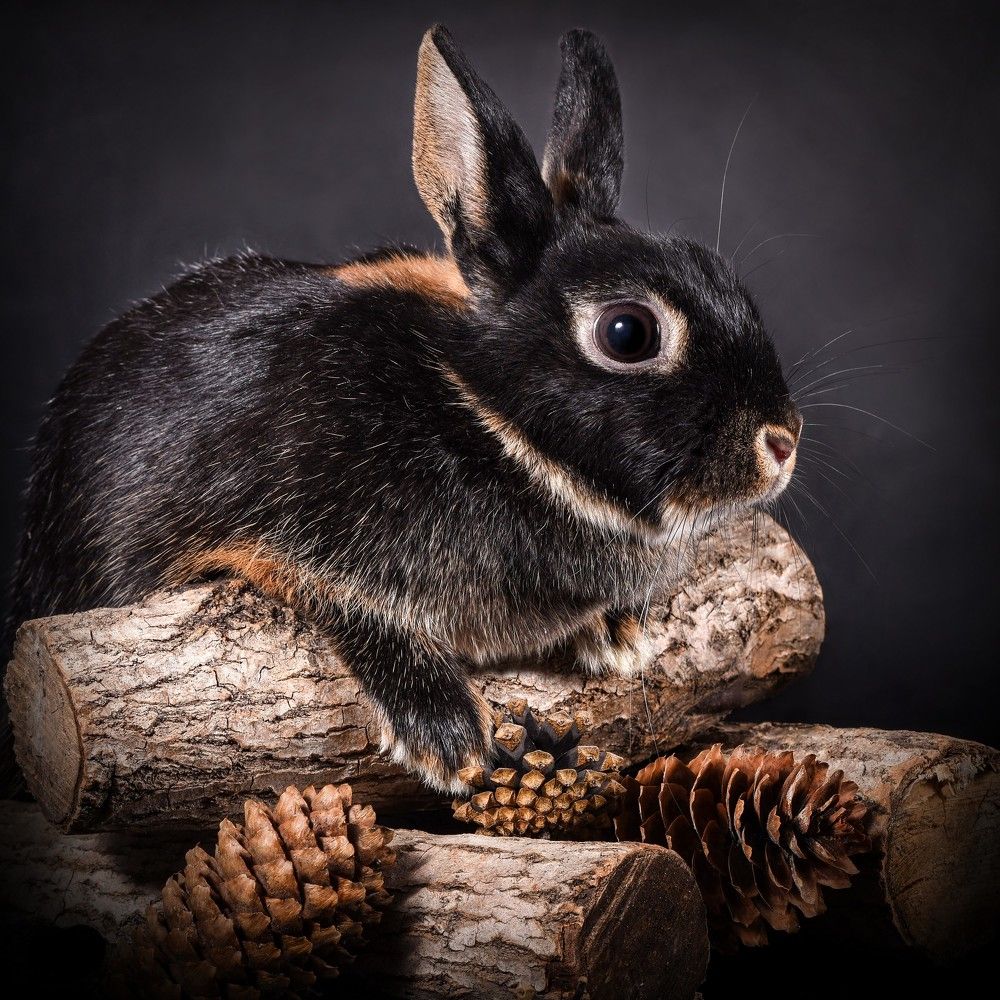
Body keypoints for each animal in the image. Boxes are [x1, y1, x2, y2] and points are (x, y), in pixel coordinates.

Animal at [4, 25, 801, 792]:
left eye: (723, 276)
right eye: (628, 333)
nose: (782, 441)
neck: (479, 410)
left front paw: (617, 635)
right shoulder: (258, 531)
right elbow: (331, 595)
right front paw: (446, 733)